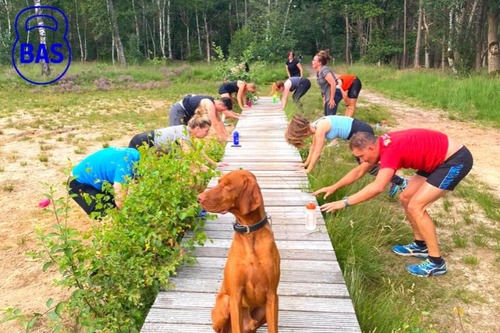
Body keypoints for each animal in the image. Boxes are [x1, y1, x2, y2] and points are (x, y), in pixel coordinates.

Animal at [197, 170, 280, 332]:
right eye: (218, 182)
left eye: (228, 186)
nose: (199, 198)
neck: (249, 233)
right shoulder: (235, 295)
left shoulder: (272, 296)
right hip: (224, 302)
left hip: (263, 309)